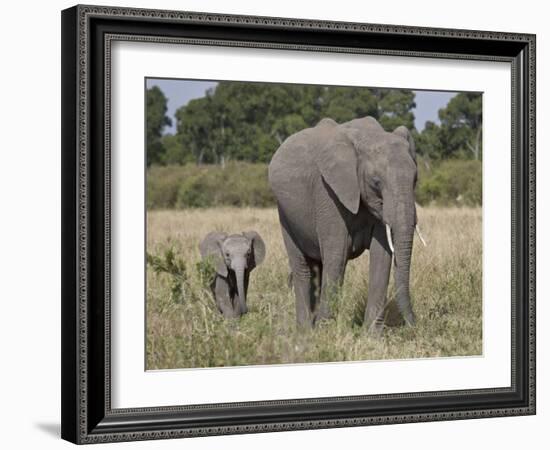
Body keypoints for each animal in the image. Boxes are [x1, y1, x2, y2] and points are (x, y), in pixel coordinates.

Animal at [270, 116, 424, 334]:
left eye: (415, 180)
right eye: (376, 182)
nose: (414, 325)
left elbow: (381, 256)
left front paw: (372, 335)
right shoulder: (327, 192)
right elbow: (337, 255)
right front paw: (325, 333)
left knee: (318, 268)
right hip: (285, 214)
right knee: (303, 268)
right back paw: (305, 331)